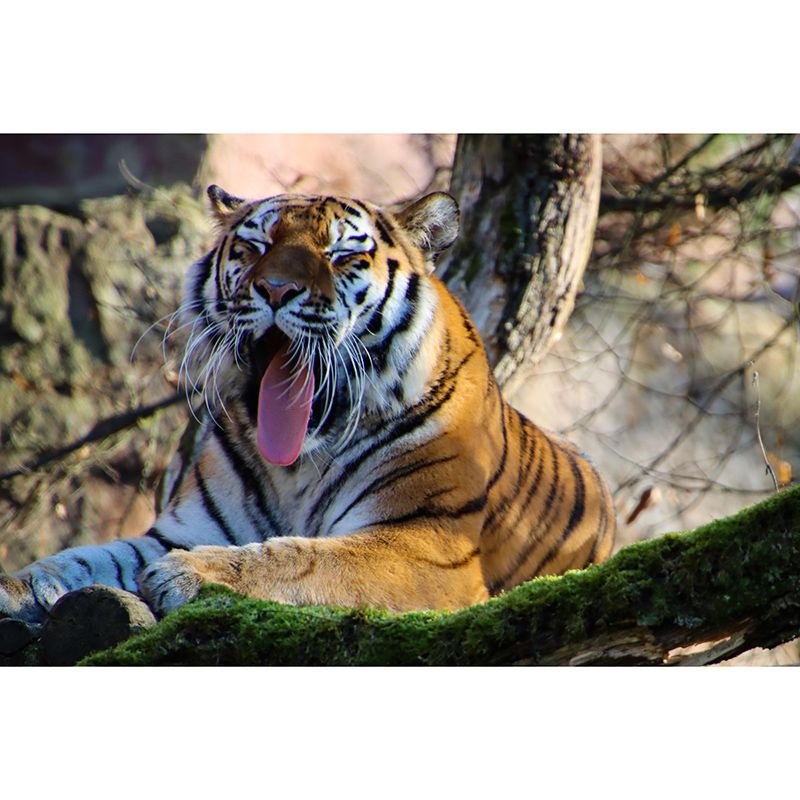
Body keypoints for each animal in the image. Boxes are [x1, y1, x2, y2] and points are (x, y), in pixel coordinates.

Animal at [0, 185, 615, 624]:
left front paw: (189, 574)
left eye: (340, 255)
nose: (275, 290)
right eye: (255, 248)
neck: (299, 463)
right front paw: (17, 585)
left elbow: (308, 555)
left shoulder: (427, 543)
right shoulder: (176, 529)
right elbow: (84, 558)